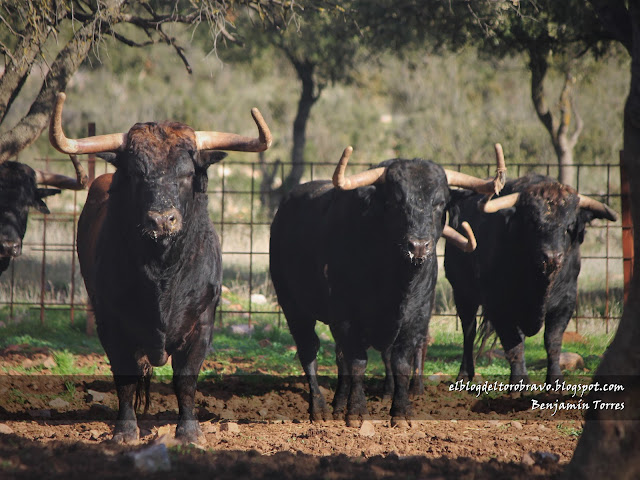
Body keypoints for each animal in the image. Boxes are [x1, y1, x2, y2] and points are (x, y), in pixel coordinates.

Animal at [49, 92, 271, 444]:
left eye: (186, 173)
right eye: (137, 173)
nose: (162, 220)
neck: (163, 273)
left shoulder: (202, 325)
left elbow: (186, 379)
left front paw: (189, 432)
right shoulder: (110, 324)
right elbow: (124, 378)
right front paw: (125, 431)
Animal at [270, 144, 506, 427]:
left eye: (439, 203)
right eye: (396, 202)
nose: (418, 246)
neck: (393, 281)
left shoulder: (416, 318)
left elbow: (400, 364)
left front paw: (401, 412)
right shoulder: (346, 317)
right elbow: (358, 362)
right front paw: (357, 412)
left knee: (339, 358)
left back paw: (338, 404)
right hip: (293, 306)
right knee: (309, 351)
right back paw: (320, 409)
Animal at [444, 173, 617, 385]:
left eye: (569, 226)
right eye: (533, 222)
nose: (552, 257)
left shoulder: (566, 302)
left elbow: (552, 342)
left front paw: (554, 382)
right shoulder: (499, 305)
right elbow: (513, 345)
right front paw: (518, 383)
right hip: (462, 293)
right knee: (469, 331)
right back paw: (464, 375)